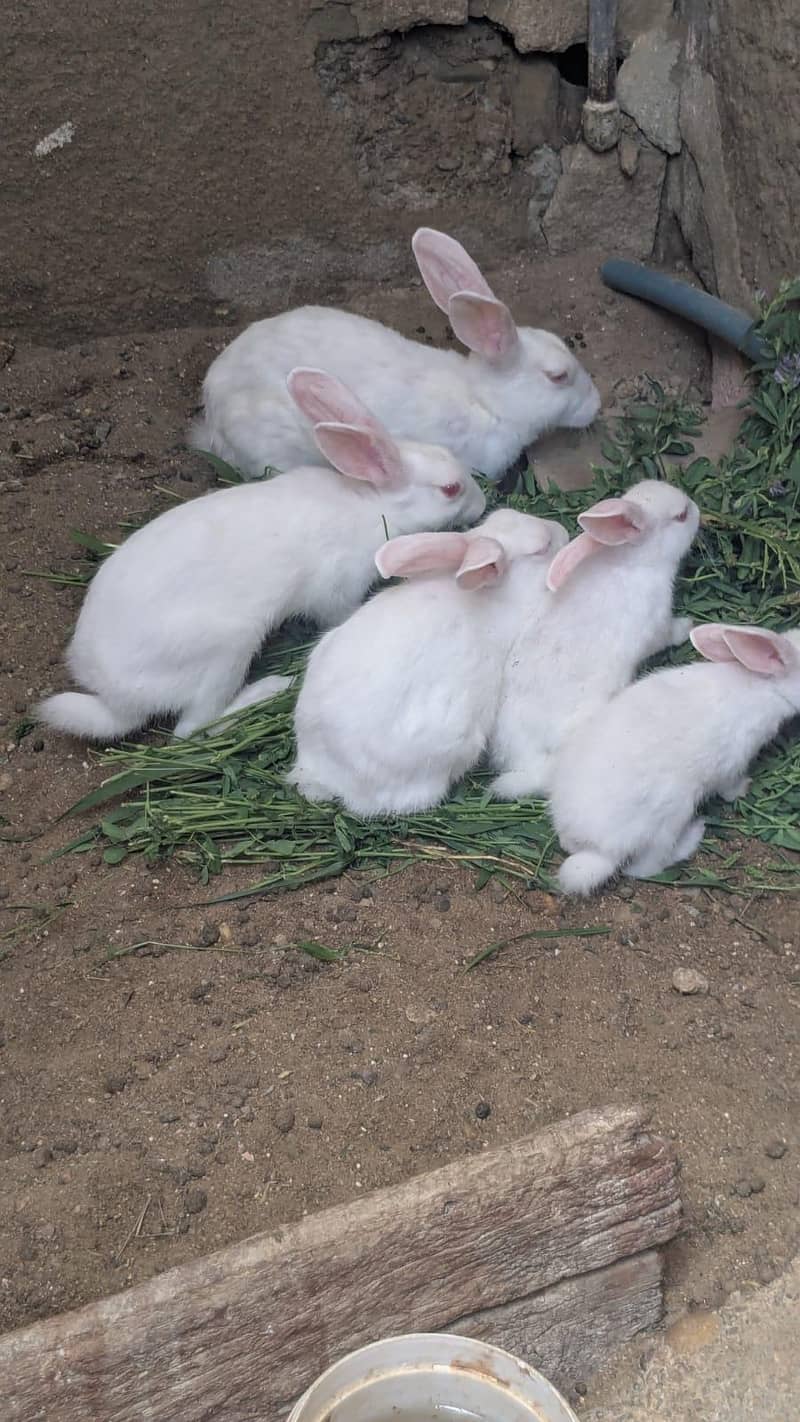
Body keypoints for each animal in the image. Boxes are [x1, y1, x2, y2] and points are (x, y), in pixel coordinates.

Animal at [37, 368, 485, 742]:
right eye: (450, 489)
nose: (481, 504)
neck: (371, 503)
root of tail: (115, 697)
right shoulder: (334, 591)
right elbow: (337, 613)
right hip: (225, 652)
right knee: (193, 729)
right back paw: (270, 689)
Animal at [488, 479, 701, 800]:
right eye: (681, 516)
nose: (698, 509)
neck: (637, 561)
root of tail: (527, 757)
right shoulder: (656, 626)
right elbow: (668, 634)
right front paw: (688, 625)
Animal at [552, 622, 800, 896]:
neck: (764, 685)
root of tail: (597, 849)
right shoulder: (734, 762)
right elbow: (729, 788)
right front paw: (744, 788)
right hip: (671, 818)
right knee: (645, 867)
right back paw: (694, 834)